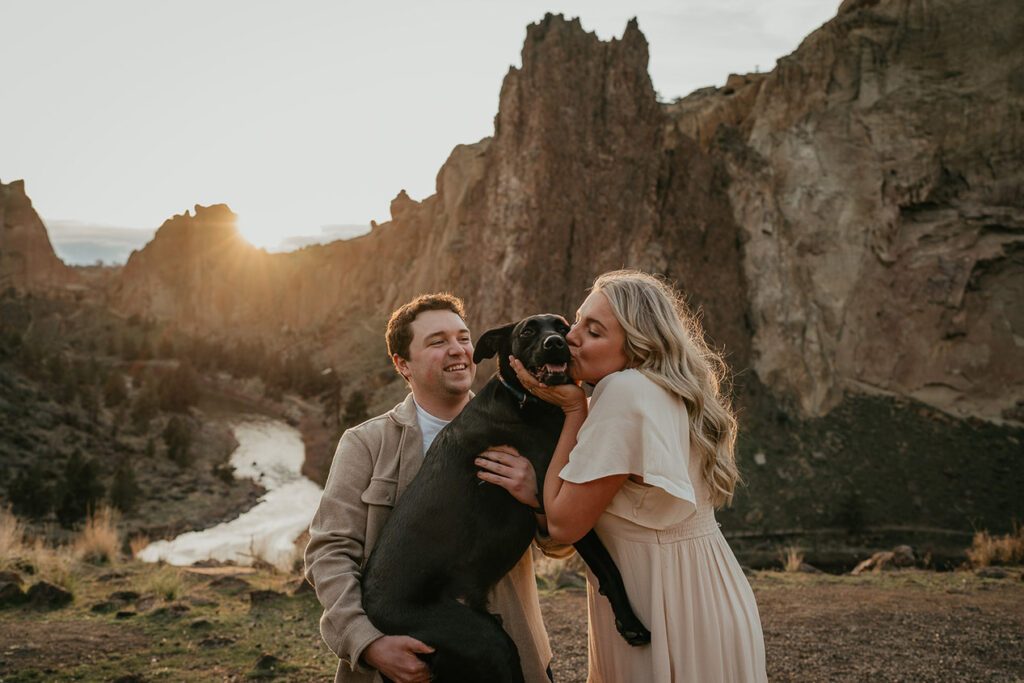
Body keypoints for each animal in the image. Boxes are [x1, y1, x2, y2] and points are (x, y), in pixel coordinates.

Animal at [360, 317, 647, 683]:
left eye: (562, 327)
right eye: (527, 331)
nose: (555, 343)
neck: (526, 402)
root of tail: (372, 610)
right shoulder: (561, 506)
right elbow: (608, 567)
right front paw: (631, 622)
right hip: (490, 645)